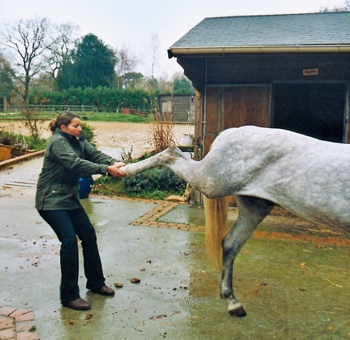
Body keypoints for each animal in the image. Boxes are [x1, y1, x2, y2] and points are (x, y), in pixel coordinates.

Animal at [118, 126, 350, 318]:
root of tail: (230, 132)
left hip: (255, 207)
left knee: (230, 244)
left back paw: (233, 302)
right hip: (212, 181)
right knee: (172, 154)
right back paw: (123, 170)